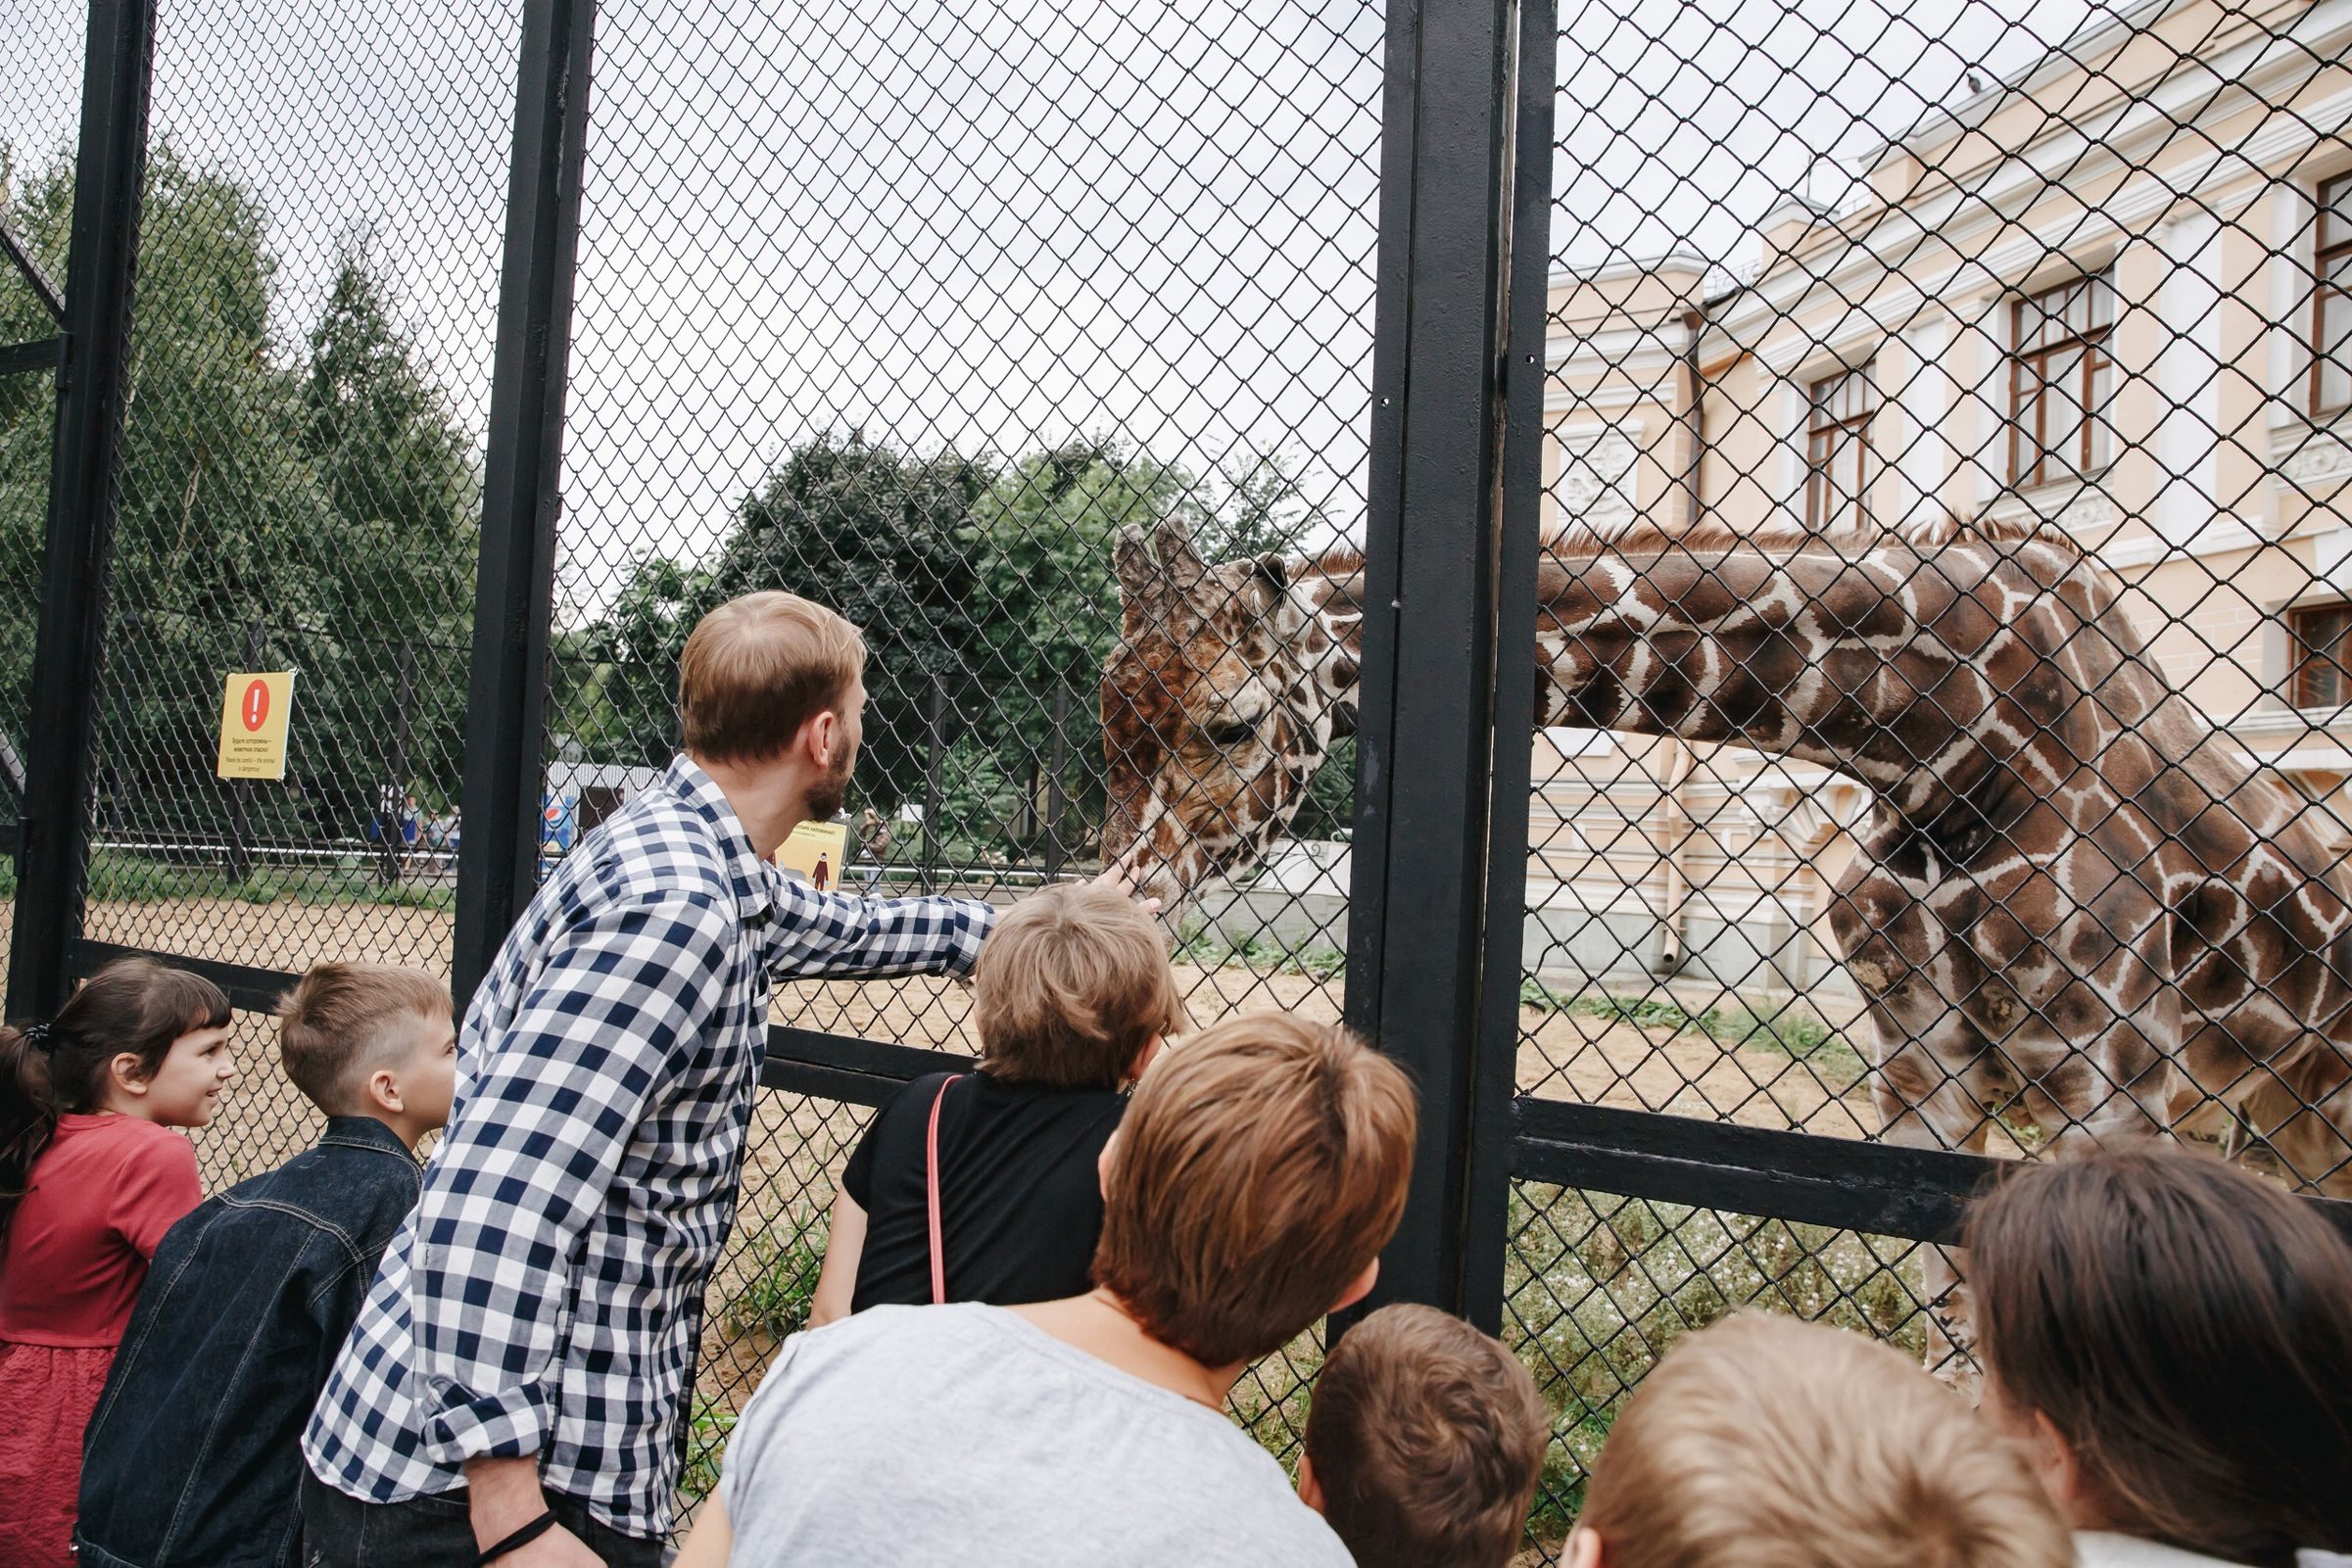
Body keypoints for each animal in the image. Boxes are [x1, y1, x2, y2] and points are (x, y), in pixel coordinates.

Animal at [1100, 517, 2352, 1354]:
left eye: (1232, 722)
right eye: (1109, 718)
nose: (1117, 895)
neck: (1939, 744)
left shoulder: (2109, 1084)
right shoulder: (1923, 1076)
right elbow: (1950, 1340)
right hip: (2255, 1114)